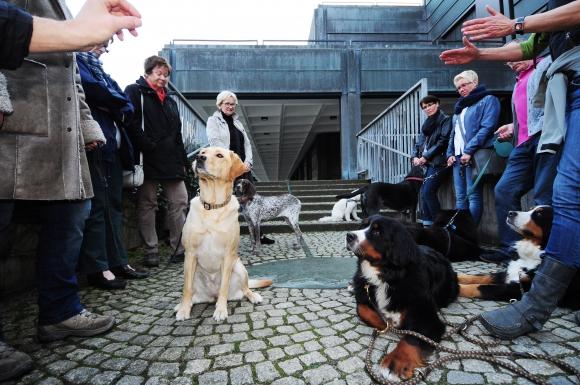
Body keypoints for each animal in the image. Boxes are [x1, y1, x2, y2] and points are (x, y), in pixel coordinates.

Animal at [174, 147, 272, 320]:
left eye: (219, 155)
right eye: (202, 152)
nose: (199, 158)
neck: (213, 206)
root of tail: (211, 296)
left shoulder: (228, 255)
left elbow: (223, 287)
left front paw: (220, 310)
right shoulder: (190, 254)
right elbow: (186, 288)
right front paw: (184, 309)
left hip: (239, 267)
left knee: (245, 288)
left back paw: (253, 296)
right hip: (194, 272)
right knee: (193, 294)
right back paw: (183, 305)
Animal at [344, 214, 458, 380]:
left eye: (377, 232)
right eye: (362, 226)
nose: (349, 235)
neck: (385, 276)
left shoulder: (428, 318)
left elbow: (412, 339)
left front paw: (395, 362)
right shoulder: (364, 291)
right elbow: (362, 308)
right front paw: (383, 323)